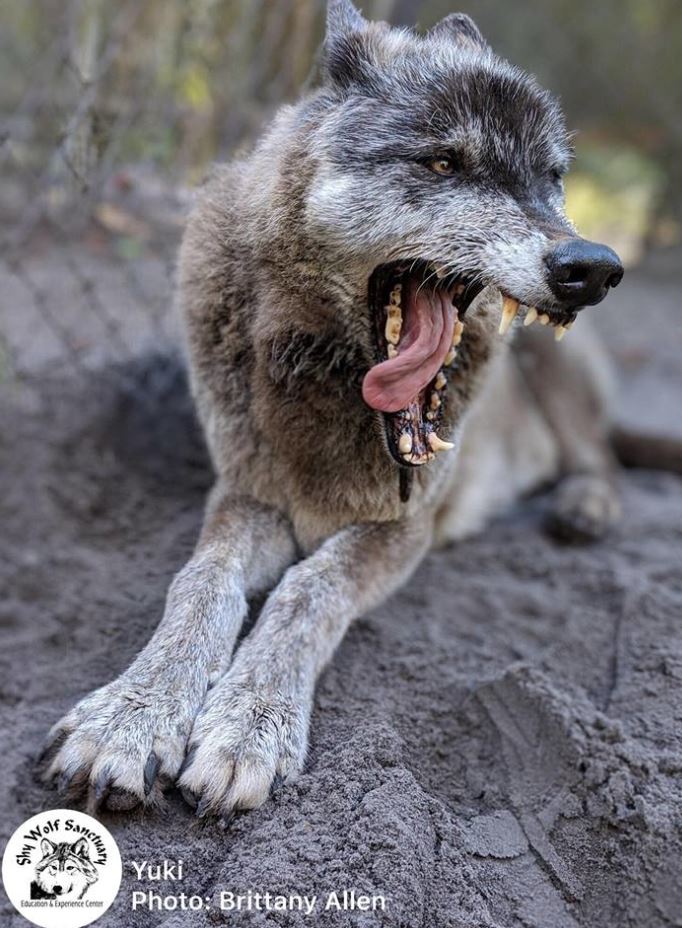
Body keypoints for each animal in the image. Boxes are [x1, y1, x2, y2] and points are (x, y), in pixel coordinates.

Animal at [42, 3, 624, 824]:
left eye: (552, 178)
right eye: (444, 164)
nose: (593, 268)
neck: (325, 390)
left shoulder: (402, 528)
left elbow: (307, 588)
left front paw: (249, 727)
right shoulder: (247, 494)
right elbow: (200, 582)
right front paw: (131, 715)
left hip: (553, 369)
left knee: (602, 457)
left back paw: (585, 507)